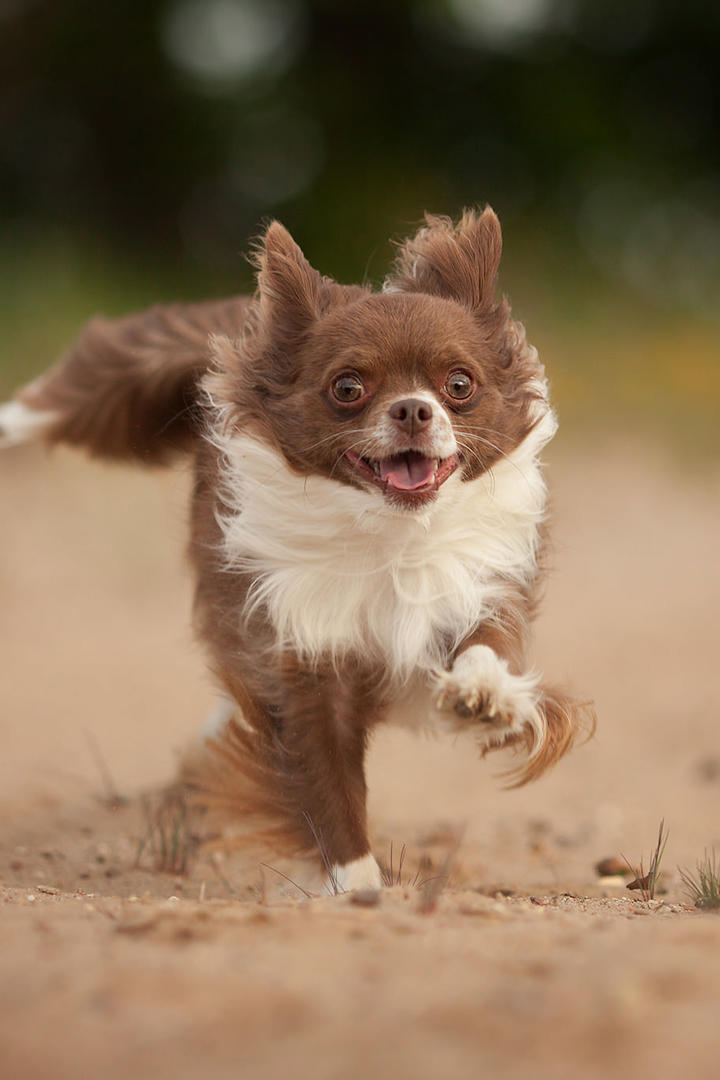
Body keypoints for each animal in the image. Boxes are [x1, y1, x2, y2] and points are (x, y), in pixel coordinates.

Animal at [0, 206, 595, 889]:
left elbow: (487, 647)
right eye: (348, 387)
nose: (414, 409)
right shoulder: (300, 653)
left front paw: (484, 696)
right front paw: (358, 887)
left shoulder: (478, 589)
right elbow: (325, 780)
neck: (388, 535)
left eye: (459, 383)